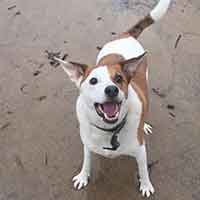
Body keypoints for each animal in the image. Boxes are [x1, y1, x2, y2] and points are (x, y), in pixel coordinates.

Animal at [54, 0, 170, 197]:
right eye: (93, 80)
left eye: (119, 79)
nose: (111, 90)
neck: (109, 131)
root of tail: (126, 35)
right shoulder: (87, 144)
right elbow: (86, 161)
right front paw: (83, 176)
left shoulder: (140, 150)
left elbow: (143, 170)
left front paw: (146, 185)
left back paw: (145, 124)